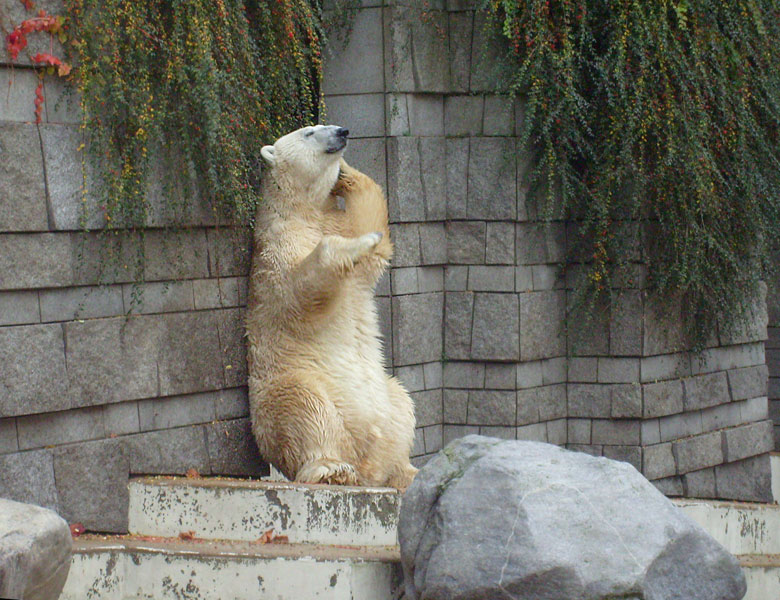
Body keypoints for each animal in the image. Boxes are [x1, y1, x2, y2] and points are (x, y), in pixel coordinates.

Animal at [248, 124, 420, 490]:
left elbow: (373, 226)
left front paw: (344, 173)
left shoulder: (336, 223)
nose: (342, 132)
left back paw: (406, 471)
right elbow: (302, 289)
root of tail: (367, 465)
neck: (305, 211)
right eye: (308, 132)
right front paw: (359, 243)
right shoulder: (277, 248)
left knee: (402, 404)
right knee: (307, 410)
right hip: (288, 386)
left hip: (387, 400)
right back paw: (332, 470)